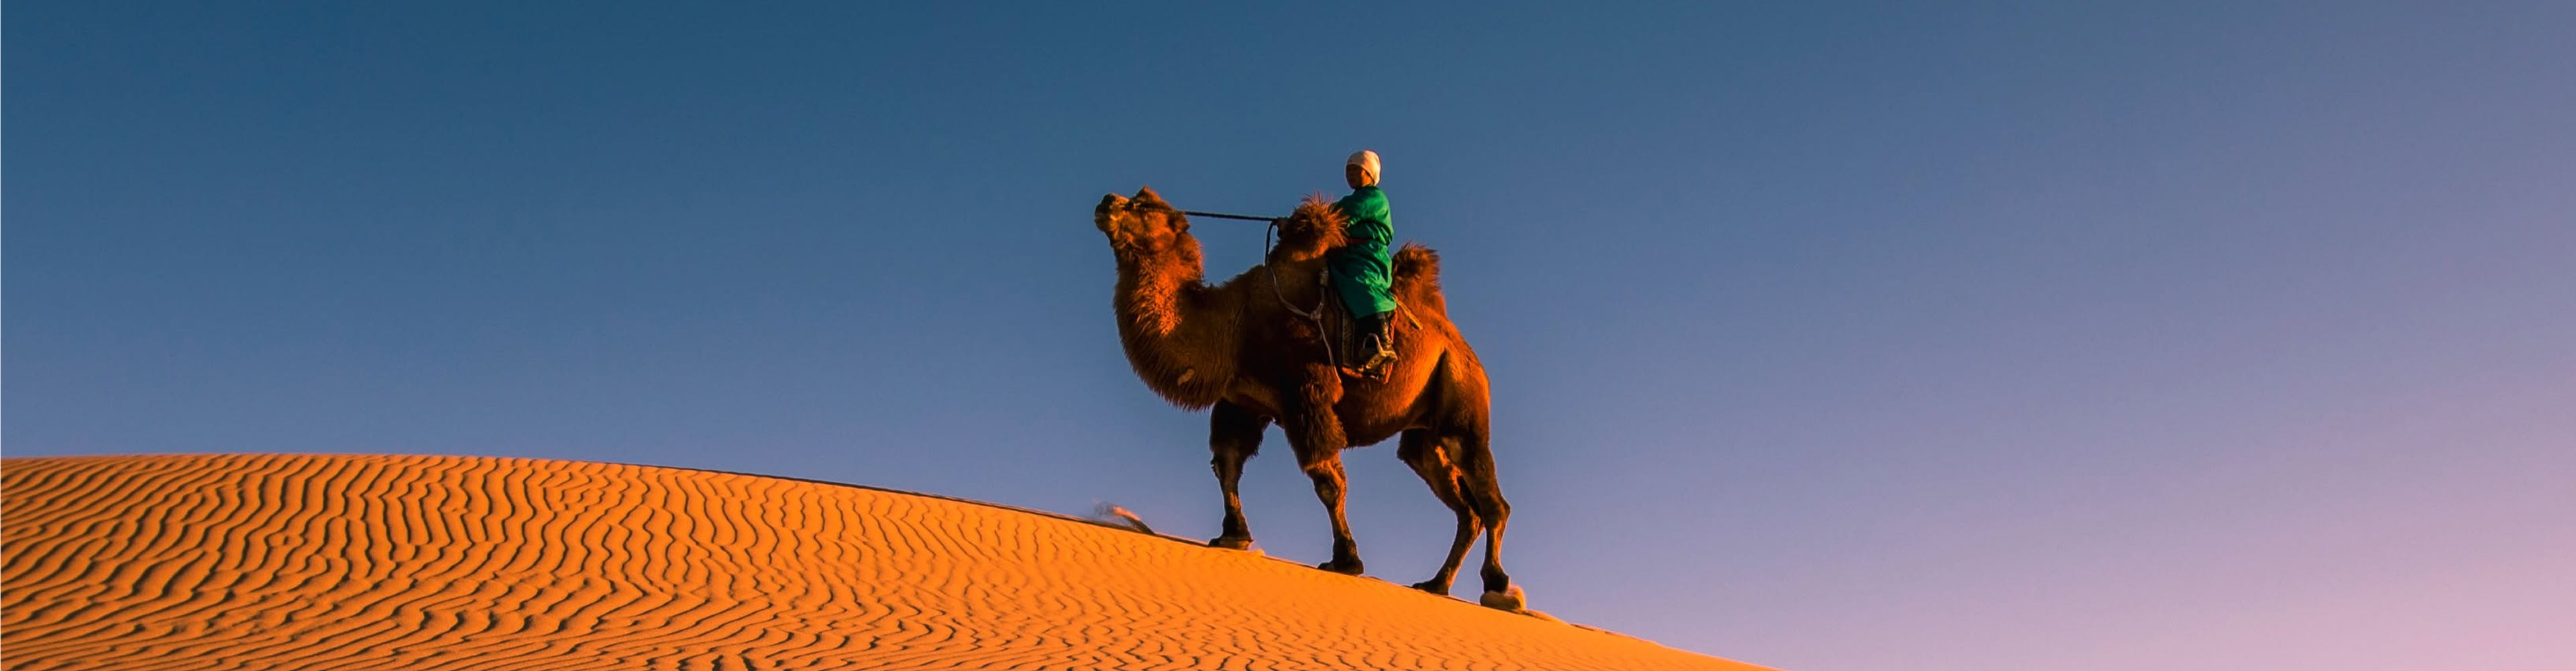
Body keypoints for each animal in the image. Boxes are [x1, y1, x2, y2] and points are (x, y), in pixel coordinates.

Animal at [1092, 187, 1520, 609]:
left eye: (1143, 205)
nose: (1106, 202)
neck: (1234, 326)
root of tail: (1461, 346)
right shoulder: (1243, 401)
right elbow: (1227, 464)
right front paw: (1233, 536)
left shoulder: (1307, 392)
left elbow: (1328, 481)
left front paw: (1345, 560)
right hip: (1424, 435)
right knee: (1464, 507)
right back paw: (1436, 584)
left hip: (1461, 396)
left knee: (1491, 498)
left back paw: (1499, 589)